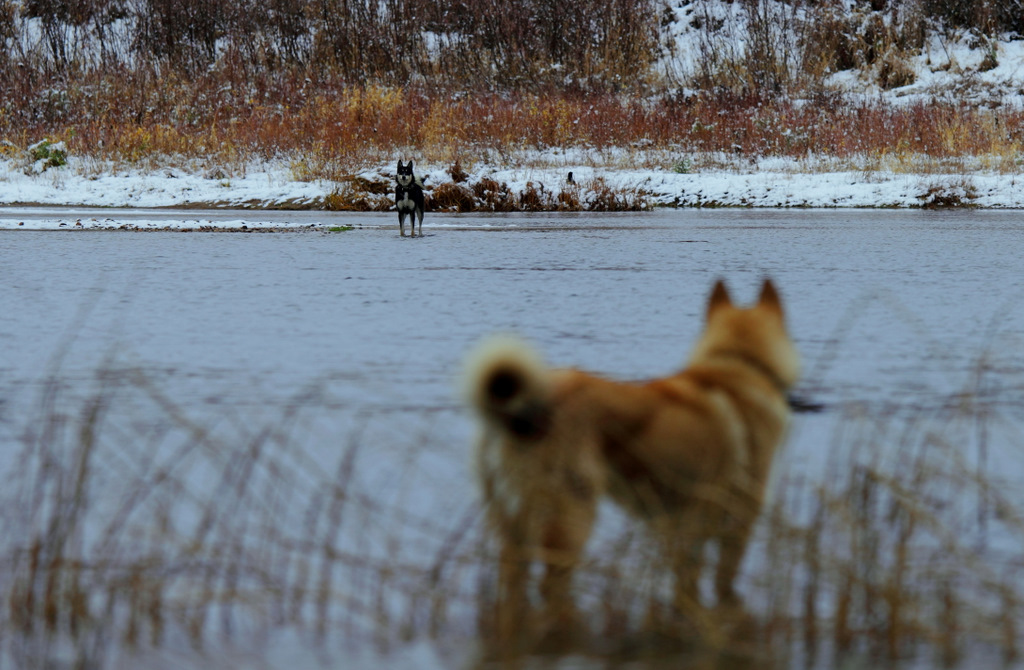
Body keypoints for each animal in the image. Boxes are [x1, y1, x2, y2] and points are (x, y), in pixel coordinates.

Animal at [464, 278, 798, 647]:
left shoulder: (682, 523)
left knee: (513, 579)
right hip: (573, 516)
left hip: (514, 525)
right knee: (551, 586)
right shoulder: (738, 516)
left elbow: (685, 580)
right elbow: (722, 582)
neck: (739, 363)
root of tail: (521, 411)